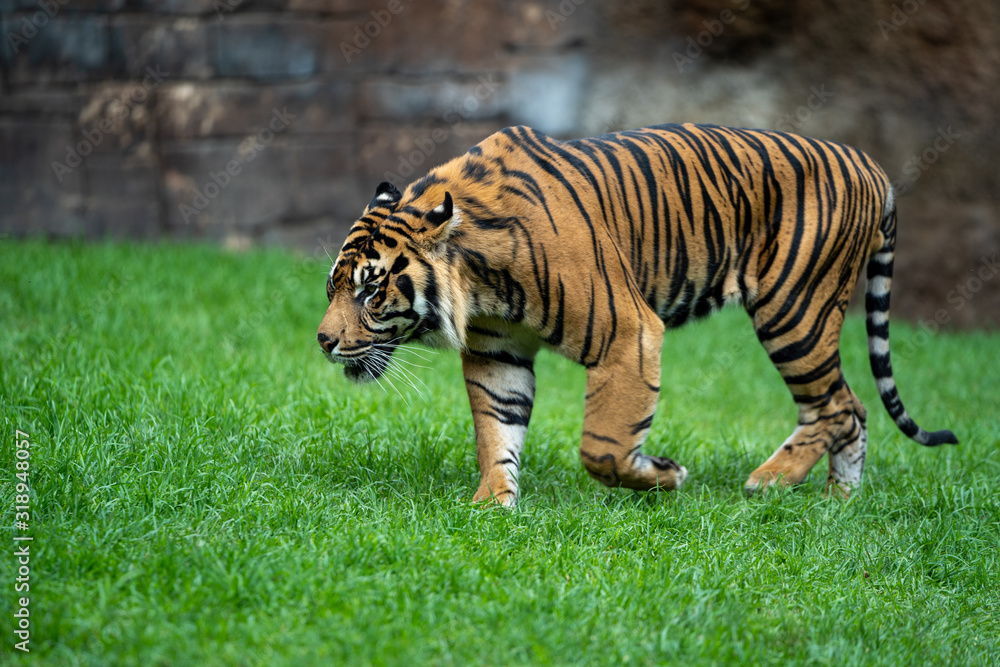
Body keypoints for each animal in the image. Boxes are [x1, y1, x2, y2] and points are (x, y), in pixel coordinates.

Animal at [316, 123, 958, 507]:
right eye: (332, 288)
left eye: (370, 291)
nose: (323, 341)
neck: (478, 278)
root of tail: (872, 166)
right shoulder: (497, 351)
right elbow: (496, 427)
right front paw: (493, 502)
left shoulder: (627, 331)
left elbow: (602, 444)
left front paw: (663, 476)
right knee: (851, 410)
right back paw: (836, 502)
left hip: (793, 309)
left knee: (837, 405)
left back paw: (770, 480)